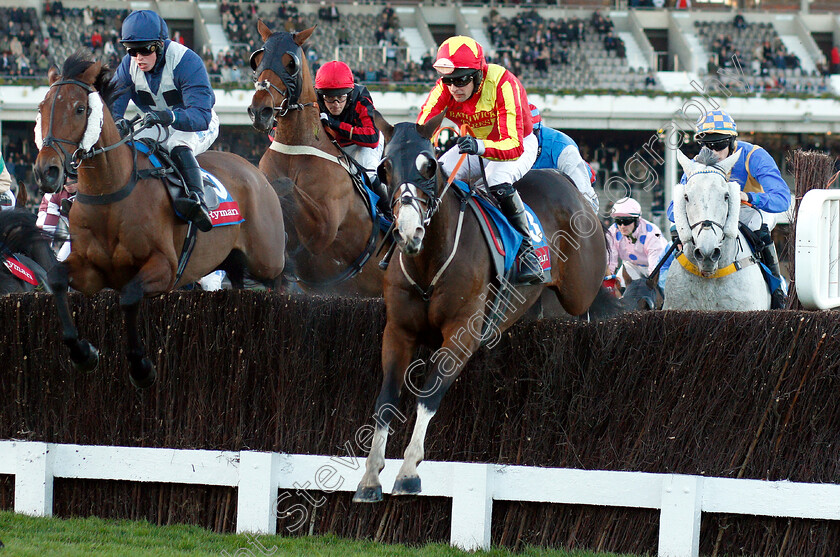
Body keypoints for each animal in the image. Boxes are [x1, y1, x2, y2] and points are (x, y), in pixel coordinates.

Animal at [32, 51, 288, 386]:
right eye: (42, 108)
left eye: (79, 109)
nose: (46, 171)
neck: (111, 194)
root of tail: (255, 171)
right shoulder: (90, 272)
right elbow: (57, 279)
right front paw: (83, 353)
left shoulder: (164, 268)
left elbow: (129, 297)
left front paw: (141, 367)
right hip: (233, 261)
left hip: (266, 260)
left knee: (280, 283)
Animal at [244, 21, 386, 298]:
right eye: (257, 60)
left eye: (291, 63)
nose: (260, 111)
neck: (296, 148)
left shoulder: (324, 228)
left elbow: (285, 185)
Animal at [352, 115, 608, 502]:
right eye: (384, 168)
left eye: (429, 165)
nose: (409, 232)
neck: (430, 260)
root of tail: (567, 183)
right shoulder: (398, 331)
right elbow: (386, 400)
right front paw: (370, 476)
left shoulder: (463, 333)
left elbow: (429, 393)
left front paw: (409, 471)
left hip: (580, 287)